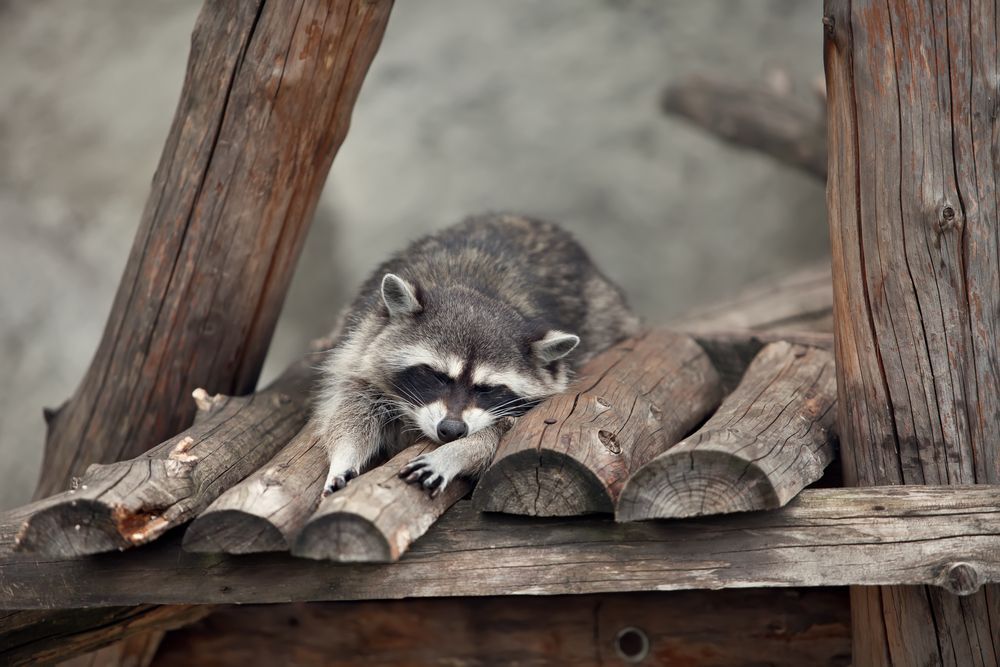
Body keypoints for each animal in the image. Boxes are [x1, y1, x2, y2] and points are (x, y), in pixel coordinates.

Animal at [315, 213, 640, 497]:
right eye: (437, 376)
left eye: (487, 388)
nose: (451, 430)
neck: (478, 292)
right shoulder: (361, 347)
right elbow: (352, 408)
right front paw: (344, 457)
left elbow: (495, 436)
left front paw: (457, 453)